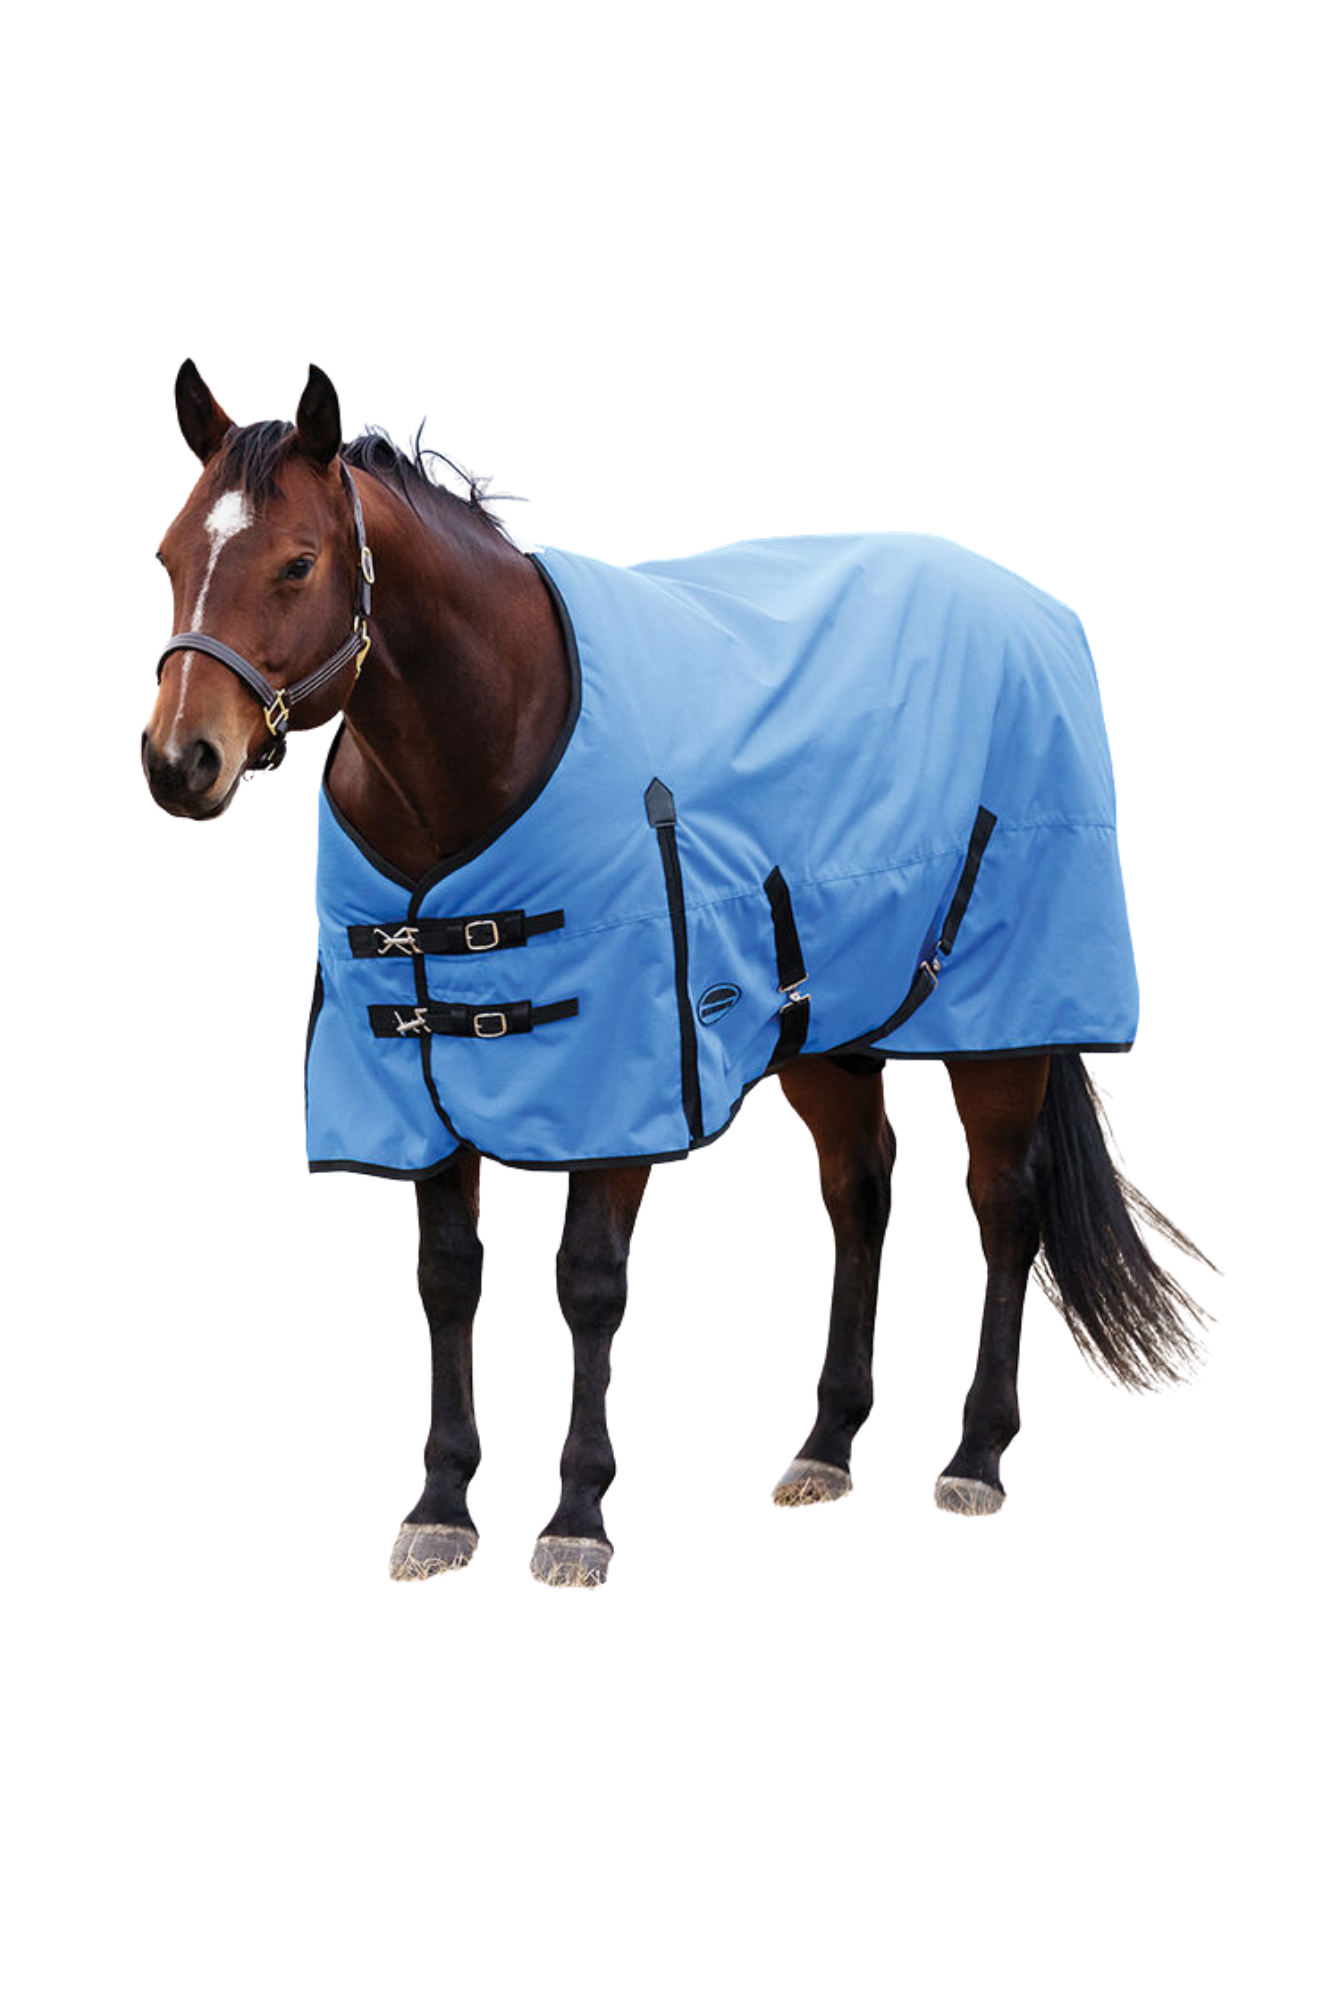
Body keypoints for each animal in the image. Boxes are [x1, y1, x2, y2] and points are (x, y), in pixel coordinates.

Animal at [142, 363, 1219, 1590]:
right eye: (170, 557)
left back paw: (976, 1459)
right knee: (861, 1198)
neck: (486, 742)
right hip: (826, 1032)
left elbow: (589, 1279)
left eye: (299, 561)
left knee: (1005, 1207)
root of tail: (1030, 605)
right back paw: (825, 1449)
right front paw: (441, 1510)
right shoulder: (416, 1071)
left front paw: (573, 1521)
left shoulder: (624, 1072)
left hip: (1008, 1025)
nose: (180, 761)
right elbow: (450, 1277)